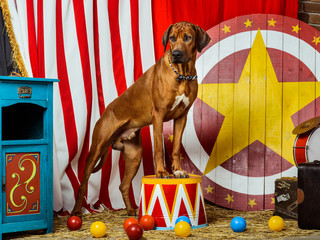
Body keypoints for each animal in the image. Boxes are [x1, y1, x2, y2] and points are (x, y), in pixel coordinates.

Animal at [70, 21, 210, 217]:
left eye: (188, 37)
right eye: (172, 38)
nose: (176, 54)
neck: (182, 74)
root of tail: (105, 112)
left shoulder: (182, 116)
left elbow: (175, 148)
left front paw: (178, 171)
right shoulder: (158, 115)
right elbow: (159, 148)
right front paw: (161, 172)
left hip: (134, 156)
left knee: (123, 185)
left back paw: (130, 210)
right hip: (96, 148)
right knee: (83, 184)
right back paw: (76, 211)